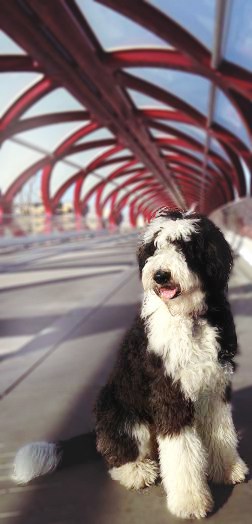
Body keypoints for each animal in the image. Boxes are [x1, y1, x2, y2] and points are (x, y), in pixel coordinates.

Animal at [12, 210, 247, 520]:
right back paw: (136, 471)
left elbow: (222, 432)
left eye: (185, 246)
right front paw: (190, 501)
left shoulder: (216, 386)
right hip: (120, 413)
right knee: (115, 456)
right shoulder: (169, 395)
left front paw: (228, 469)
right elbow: (181, 452)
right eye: (155, 247)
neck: (189, 318)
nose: (160, 275)